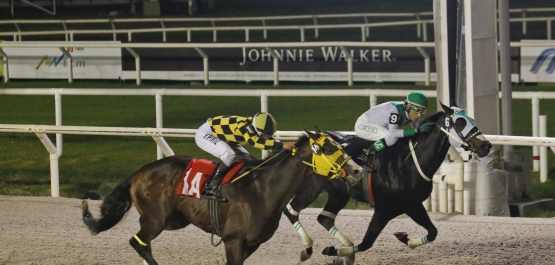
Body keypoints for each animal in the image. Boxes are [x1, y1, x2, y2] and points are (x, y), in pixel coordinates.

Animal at [79, 127, 364, 262]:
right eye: (329, 148)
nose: (357, 169)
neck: (263, 190)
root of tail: (139, 171)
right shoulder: (233, 240)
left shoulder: (251, 243)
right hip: (156, 219)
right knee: (138, 242)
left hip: (174, 220)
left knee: (142, 242)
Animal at [284, 102, 494, 262]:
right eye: (460, 121)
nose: (486, 146)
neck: (407, 163)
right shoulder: (383, 209)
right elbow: (366, 243)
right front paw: (334, 252)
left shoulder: (412, 204)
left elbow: (433, 232)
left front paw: (404, 237)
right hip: (310, 188)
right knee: (291, 210)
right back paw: (307, 249)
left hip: (339, 193)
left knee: (324, 218)